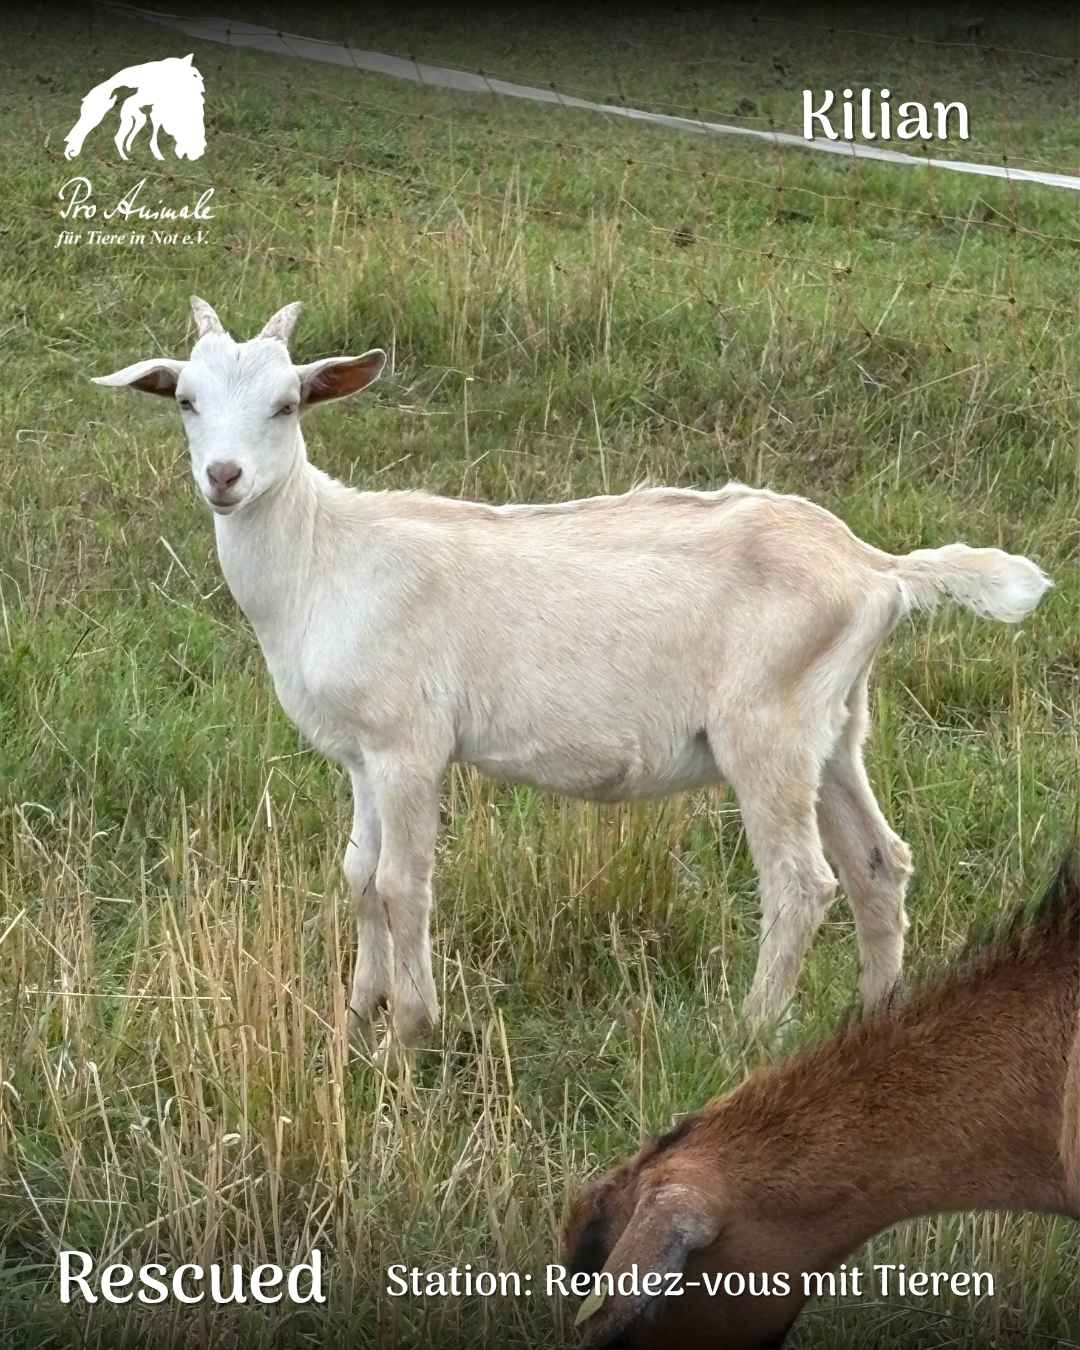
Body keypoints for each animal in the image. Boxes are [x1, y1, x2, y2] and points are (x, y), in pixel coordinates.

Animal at [93, 297, 1051, 1051]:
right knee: (878, 864)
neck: (322, 557)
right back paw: (876, 1019)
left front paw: (413, 1033)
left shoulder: (410, 745)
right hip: (836, 722)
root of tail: (878, 570)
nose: (224, 477)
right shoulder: (361, 753)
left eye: (288, 404)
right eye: (185, 401)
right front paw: (358, 1014)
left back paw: (748, 1031)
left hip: (767, 727)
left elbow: (404, 885)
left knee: (802, 882)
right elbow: (359, 876)